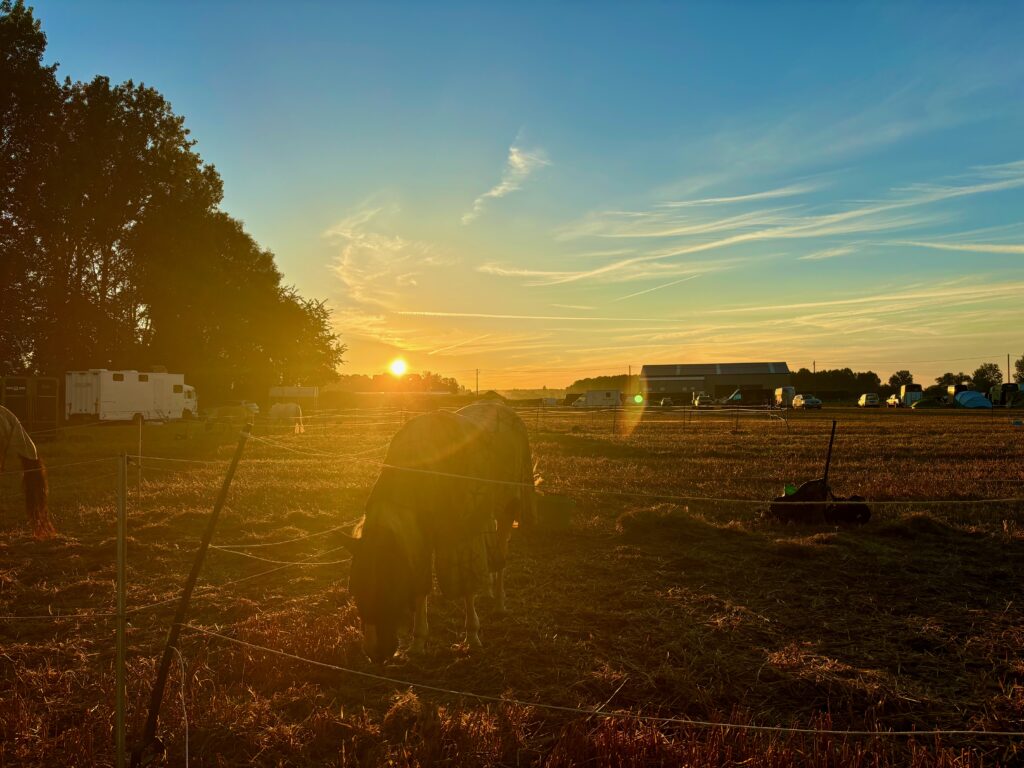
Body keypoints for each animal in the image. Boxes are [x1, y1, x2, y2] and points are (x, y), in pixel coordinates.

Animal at [342, 399, 536, 663]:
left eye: (388, 585)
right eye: (354, 588)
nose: (376, 653)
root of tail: (504, 408)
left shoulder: (461, 537)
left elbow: (466, 589)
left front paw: (472, 637)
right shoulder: (417, 540)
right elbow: (420, 587)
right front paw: (418, 641)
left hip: (509, 504)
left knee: (502, 549)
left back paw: (499, 601)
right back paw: (488, 588)